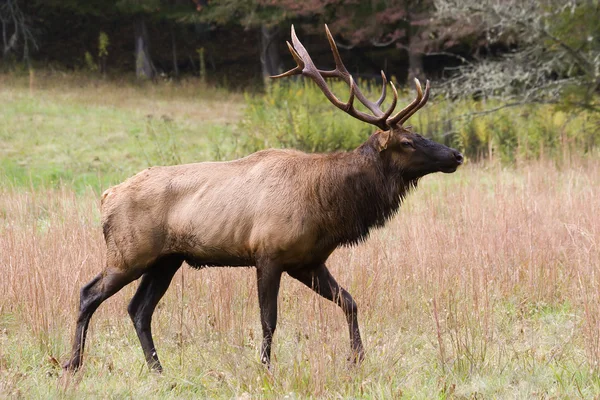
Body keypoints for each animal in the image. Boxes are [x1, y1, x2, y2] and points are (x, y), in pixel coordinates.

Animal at [62, 26, 464, 374]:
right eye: (407, 142)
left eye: (418, 133)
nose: (456, 155)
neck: (328, 207)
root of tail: (106, 196)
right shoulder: (268, 253)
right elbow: (268, 319)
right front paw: (266, 367)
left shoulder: (308, 261)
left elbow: (350, 301)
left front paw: (357, 359)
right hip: (129, 252)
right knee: (88, 293)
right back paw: (73, 363)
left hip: (166, 259)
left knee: (139, 309)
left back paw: (158, 369)